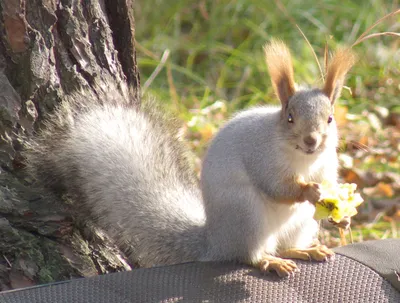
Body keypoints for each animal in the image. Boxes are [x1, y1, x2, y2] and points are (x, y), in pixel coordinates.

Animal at [24, 39, 356, 278]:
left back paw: (304, 251)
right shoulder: (262, 157)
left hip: (301, 223)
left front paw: (340, 212)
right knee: (250, 255)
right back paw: (269, 261)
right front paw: (308, 190)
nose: (311, 141)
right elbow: (276, 187)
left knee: (285, 246)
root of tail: (215, 241)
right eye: (289, 118)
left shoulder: (327, 164)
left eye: (329, 119)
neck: (304, 161)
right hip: (245, 215)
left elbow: (329, 180)